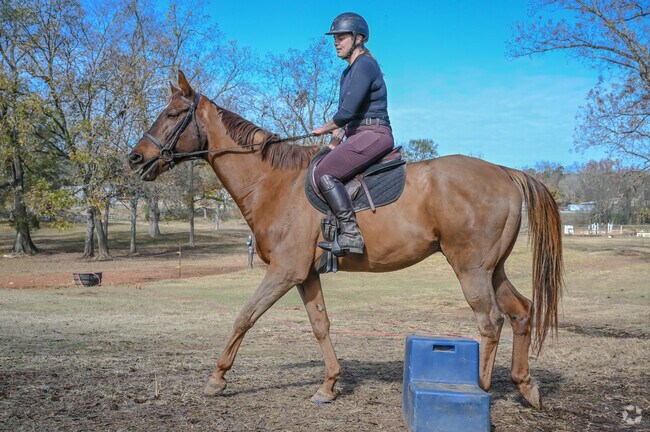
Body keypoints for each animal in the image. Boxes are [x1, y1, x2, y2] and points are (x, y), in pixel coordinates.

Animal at [128, 71, 563, 409]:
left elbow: (244, 316)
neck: (274, 183)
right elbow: (321, 325)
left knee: (490, 322)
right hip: (493, 269)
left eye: (172, 114)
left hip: (470, 269)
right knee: (521, 312)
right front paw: (329, 385)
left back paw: (481, 390)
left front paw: (217, 379)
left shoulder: (283, 272)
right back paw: (526, 387)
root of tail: (505, 172)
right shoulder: (304, 275)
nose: (135, 157)